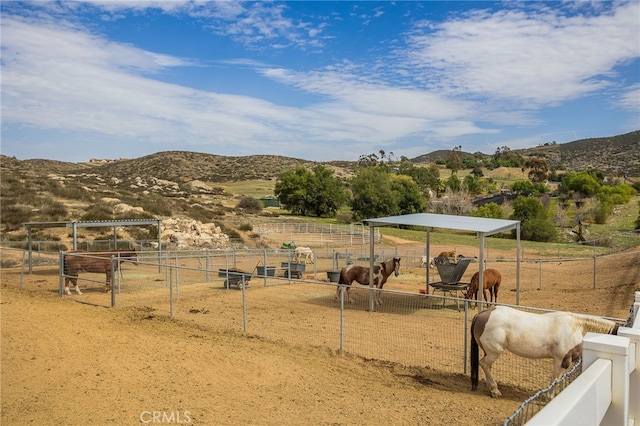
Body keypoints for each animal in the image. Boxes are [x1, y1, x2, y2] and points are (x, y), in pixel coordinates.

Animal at [470, 306, 620, 396]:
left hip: (489, 352)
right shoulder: (561, 360)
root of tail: (482, 314)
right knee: (484, 364)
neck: (576, 328)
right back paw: (495, 391)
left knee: (487, 366)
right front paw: (550, 396)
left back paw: (491, 388)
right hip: (494, 352)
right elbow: (555, 379)